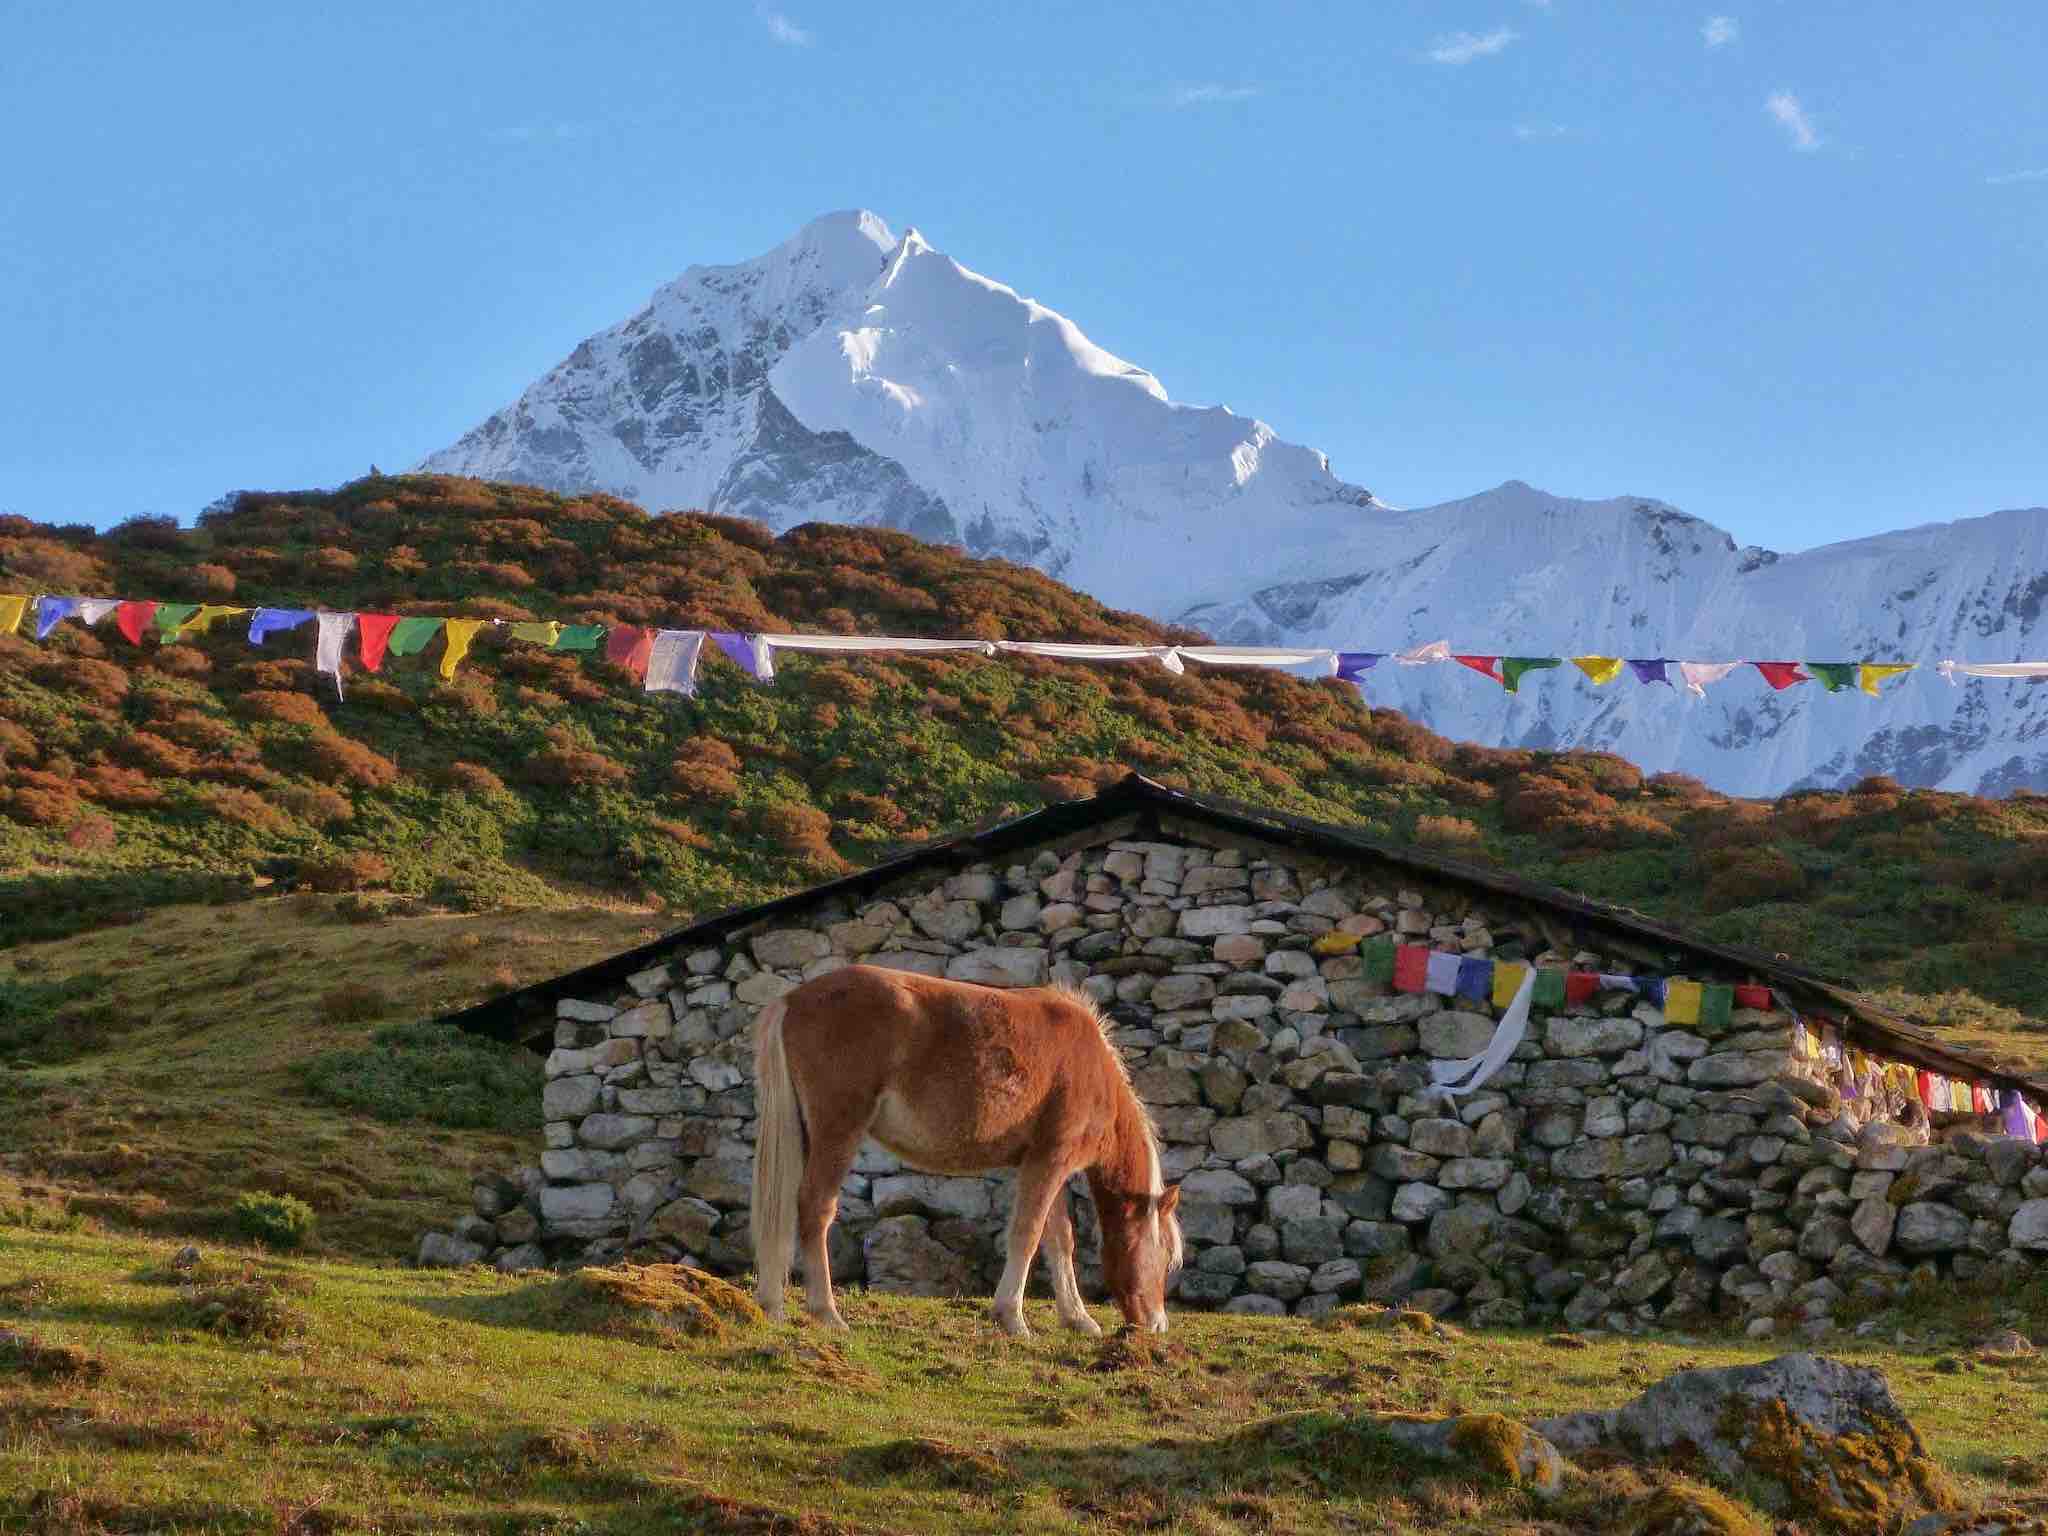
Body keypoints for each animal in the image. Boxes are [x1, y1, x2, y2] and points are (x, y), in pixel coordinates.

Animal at [753, 962, 1187, 1335]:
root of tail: (793, 999)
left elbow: (1059, 1239)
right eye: (1167, 1257)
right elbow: (1027, 1233)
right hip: (838, 1133)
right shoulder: (1051, 1161)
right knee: (815, 1208)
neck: (1093, 1069)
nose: (1157, 1324)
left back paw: (773, 1304)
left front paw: (1077, 1318)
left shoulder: (1043, 1165)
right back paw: (826, 1311)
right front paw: (1012, 1317)